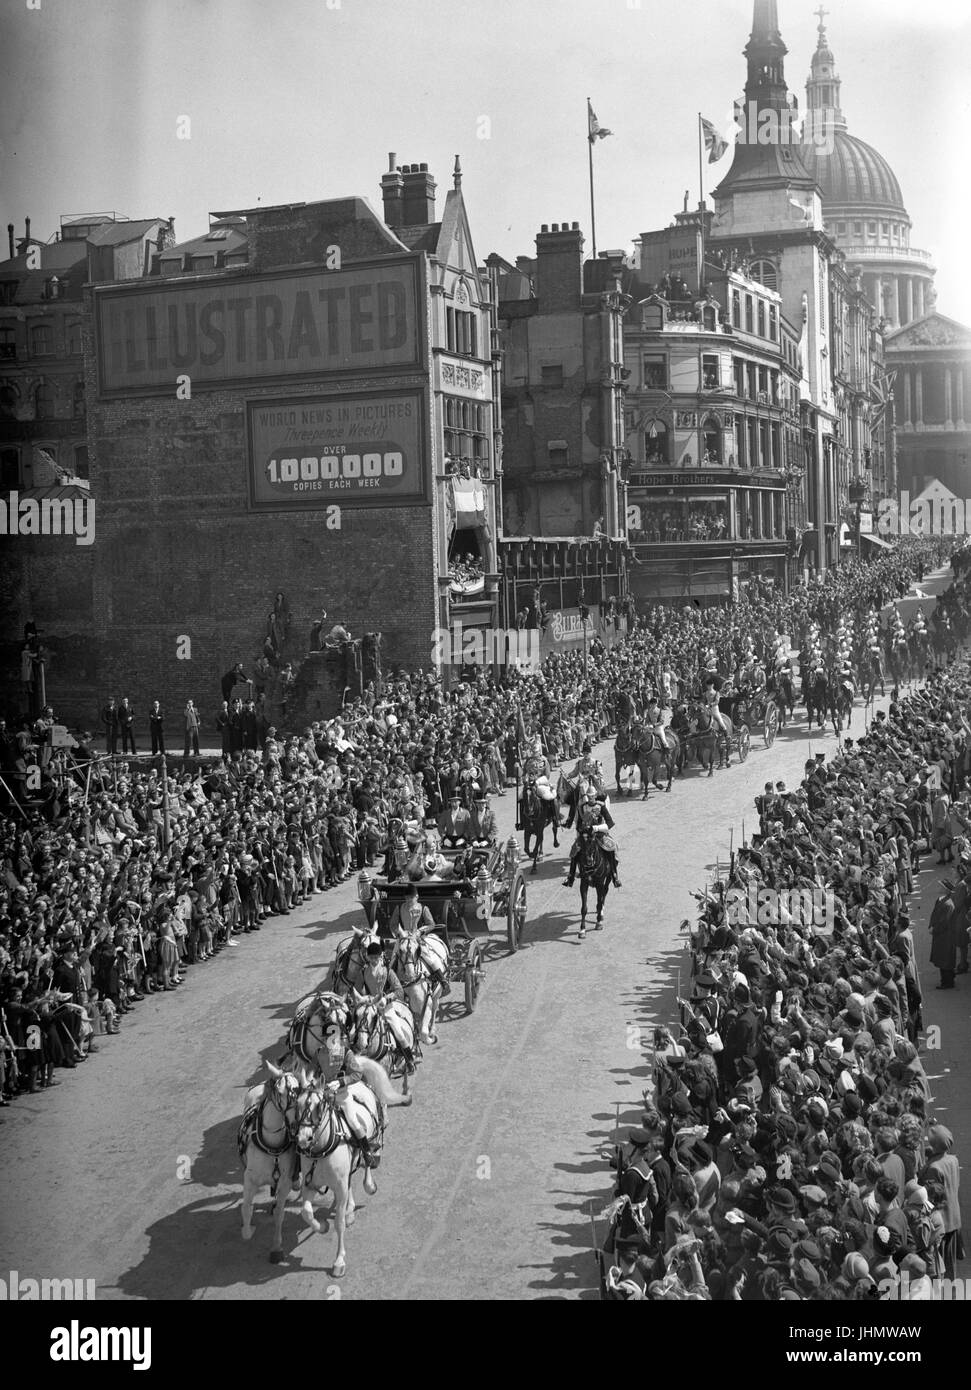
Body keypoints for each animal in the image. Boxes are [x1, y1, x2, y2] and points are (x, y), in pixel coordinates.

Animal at [236, 1061, 304, 1262]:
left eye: (301, 1090)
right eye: (280, 1092)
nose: (296, 1125)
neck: (272, 1146)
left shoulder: (284, 1182)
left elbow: (280, 1214)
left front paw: (276, 1247)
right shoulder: (249, 1179)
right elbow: (246, 1208)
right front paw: (248, 1230)